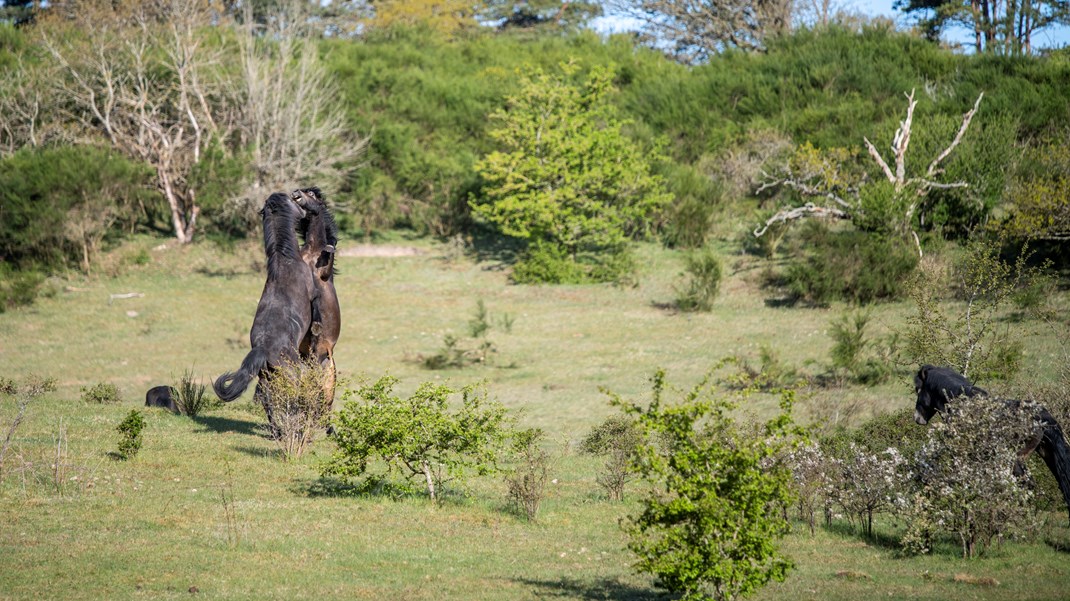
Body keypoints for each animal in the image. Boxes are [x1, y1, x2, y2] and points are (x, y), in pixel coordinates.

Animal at [210, 190, 314, 425]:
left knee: (269, 403)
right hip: (291, 373)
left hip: (267, 378)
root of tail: (262, 348)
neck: (284, 261)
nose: (303, 208)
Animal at [911, 363, 1070, 517]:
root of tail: (1039, 417)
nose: (917, 418)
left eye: (918, 390)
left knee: (1026, 484)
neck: (961, 403)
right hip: (1047, 455)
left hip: (1014, 457)